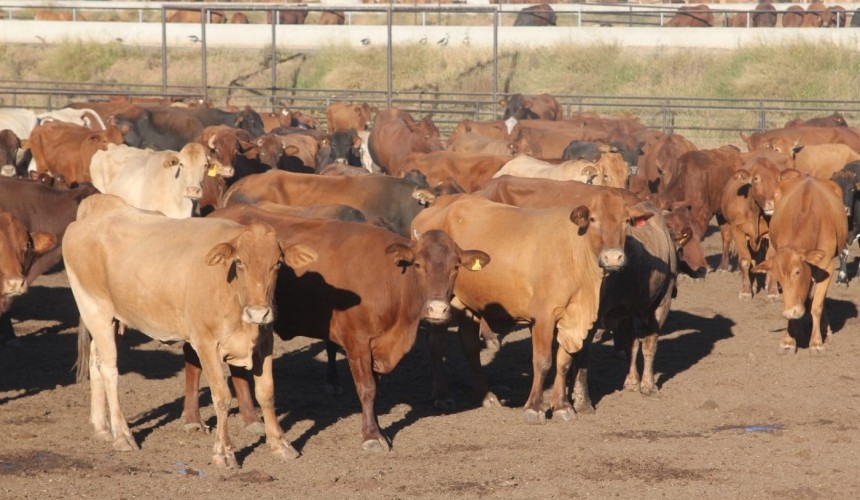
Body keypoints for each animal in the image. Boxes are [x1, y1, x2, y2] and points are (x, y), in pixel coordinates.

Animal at [66, 194, 317, 467]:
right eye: (239, 262)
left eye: (278, 263)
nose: (258, 313)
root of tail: (99, 210)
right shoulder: (206, 344)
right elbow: (222, 397)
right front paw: (224, 452)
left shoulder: (265, 342)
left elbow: (266, 392)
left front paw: (280, 444)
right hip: (95, 310)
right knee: (110, 370)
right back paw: (122, 435)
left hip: (115, 320)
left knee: (96, 360)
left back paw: (102, 426)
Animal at [194, 204, 488, 450]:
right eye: (418, 264)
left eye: (456, 266)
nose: (437, 309)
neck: (388, 279)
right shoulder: (357, 342)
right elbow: (367, 388)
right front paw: (371, 435)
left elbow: (375, 386)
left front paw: (378, 428)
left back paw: (251, 418)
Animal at [413, 193, 652, 421]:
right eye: (593, 219)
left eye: (626, 220)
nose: (613, 257)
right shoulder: (543, 316)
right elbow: (543, 361)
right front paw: (535, 408)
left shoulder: (569, 318)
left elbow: (564, 362)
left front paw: (562, 406)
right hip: (439, 301)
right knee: (436, 344)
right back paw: (442, 395)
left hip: (468, 303)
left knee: (470, 344)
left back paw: (487, 395)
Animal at [751, 176, 848, 352]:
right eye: (778, 278)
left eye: (797, 272)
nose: (790, 312)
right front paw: (789, 338)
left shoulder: (827, 267)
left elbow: (817, 305)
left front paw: (816, 341)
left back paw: (824, 328)